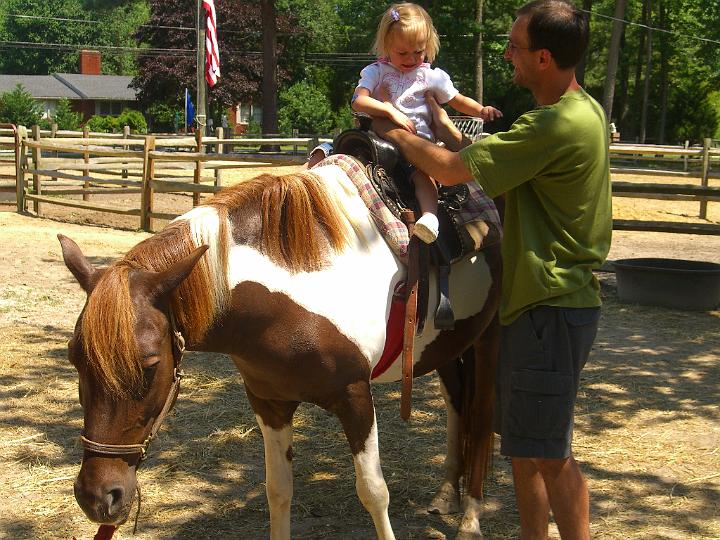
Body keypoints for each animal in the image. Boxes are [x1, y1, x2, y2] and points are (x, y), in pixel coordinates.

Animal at [62, 165, 500, 540]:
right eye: (74, 359)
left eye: (151, 365)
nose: (98, 497)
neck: (291, 293)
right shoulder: (269, 402)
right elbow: (278, 490)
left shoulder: (356, 396)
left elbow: (374, 491)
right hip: (448, 347)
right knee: (456, 403)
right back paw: (446, 494)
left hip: (488, 339)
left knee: (480, 420)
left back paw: (471, 518)